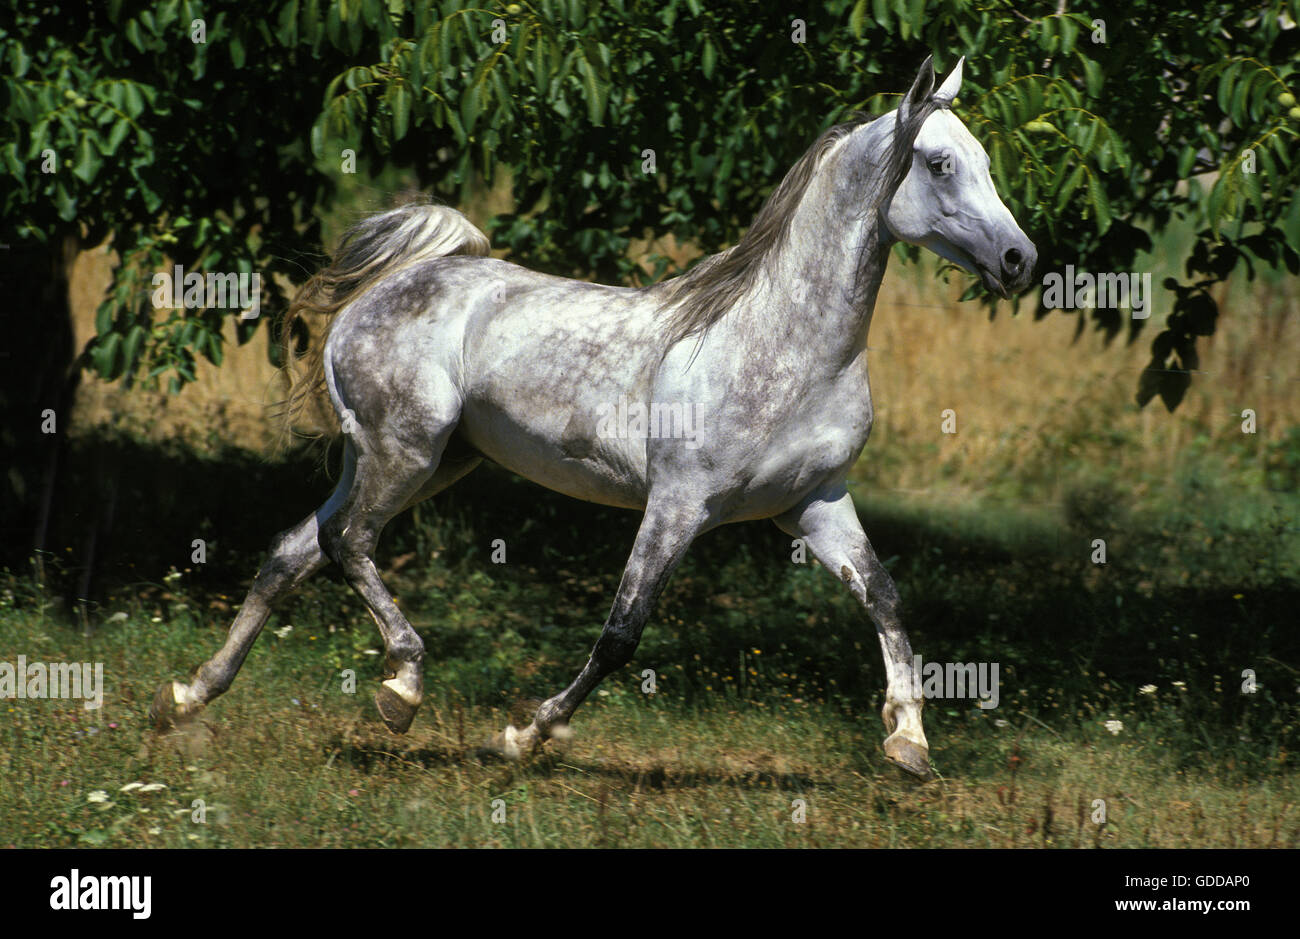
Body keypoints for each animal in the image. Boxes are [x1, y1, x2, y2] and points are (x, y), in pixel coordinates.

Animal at [152, 54, 1040, 780]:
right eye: (939, 162)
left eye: (986, 161)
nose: (1020, 260)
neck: (784, 345)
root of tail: (380, 292)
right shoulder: (679, 504)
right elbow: (621, 631)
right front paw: (524, 735)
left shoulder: (814, 504)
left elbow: (886, 599)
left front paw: (909, 743)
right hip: (404, 453)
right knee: (347, 542)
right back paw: (401, 688)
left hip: (423, 460)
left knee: (292, 552)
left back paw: (187, 697)